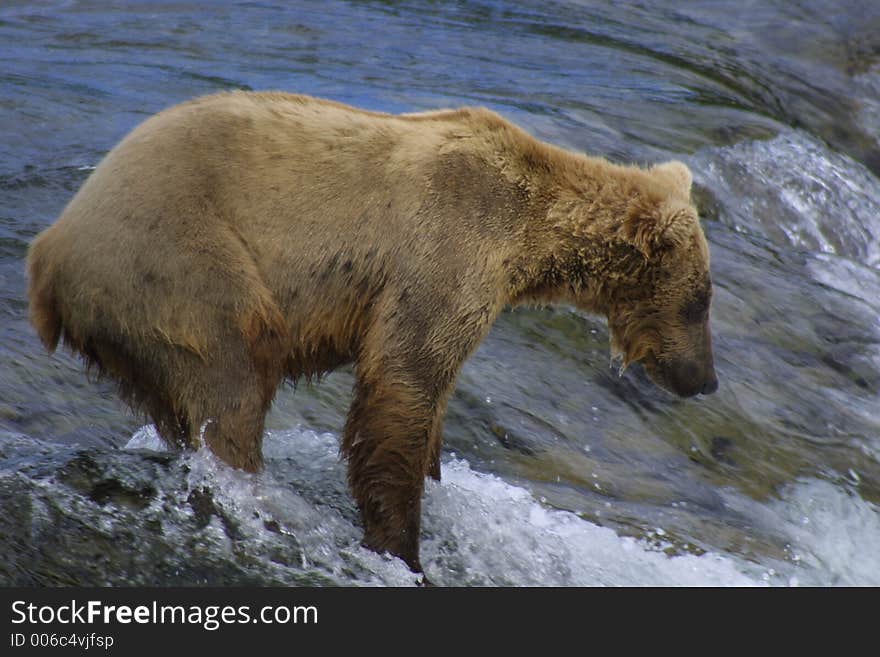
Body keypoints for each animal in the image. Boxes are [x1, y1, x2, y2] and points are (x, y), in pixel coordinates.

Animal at [25, 91, 716, 576]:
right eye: (701, 301)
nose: (704, 379)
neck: (530, 239)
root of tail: (48, 250)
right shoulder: (446, 252)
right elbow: (401, 388)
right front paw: (402, 549)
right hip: (179, 261)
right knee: (234, 375)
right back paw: (256, 501)